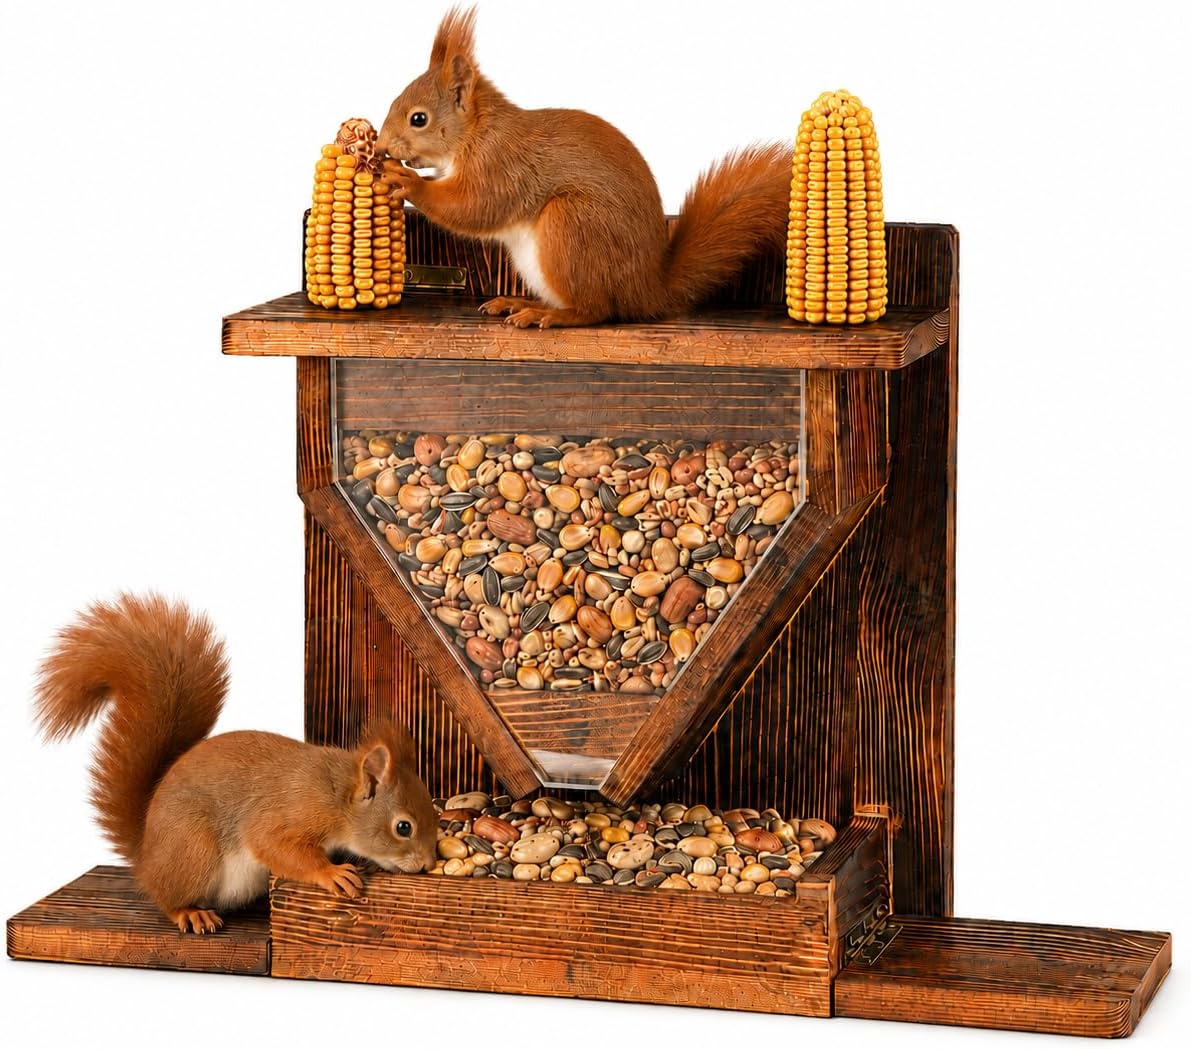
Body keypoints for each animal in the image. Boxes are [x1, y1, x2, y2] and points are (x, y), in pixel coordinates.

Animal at [33, 592, 438, 934]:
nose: (427, 866)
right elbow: (274, 845)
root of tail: (145, 855)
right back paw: (189, 912)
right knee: (166, 898)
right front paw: (331, 872)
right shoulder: (291, 812)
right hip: (193, 848)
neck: (336, 794)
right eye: (403, 827)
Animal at [377, 7, 791, 329]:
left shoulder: (501, 165)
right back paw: (521, 302)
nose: (381, 147)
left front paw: (409, 181)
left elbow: (475, 206)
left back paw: (548, 315)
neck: (476, 132)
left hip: (571, 225)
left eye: (418, 119)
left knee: (596, 309)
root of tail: (648, 291)